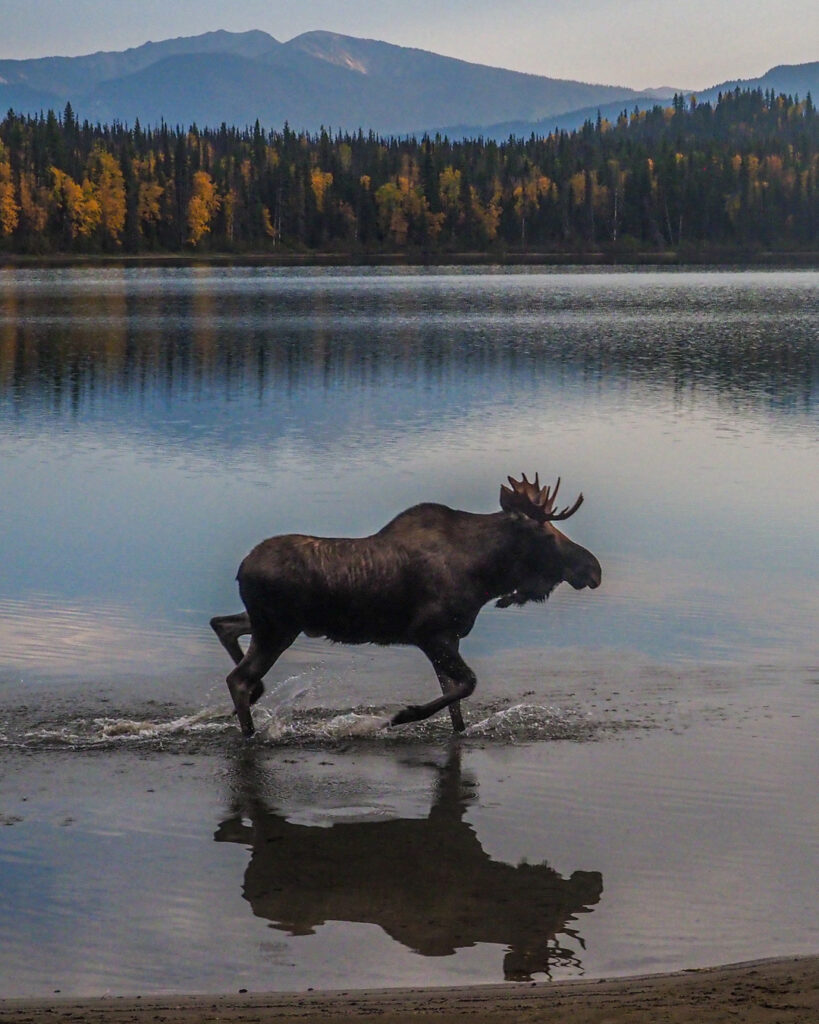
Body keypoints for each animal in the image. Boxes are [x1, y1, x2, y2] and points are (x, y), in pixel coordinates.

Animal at [207, 471, 597, 737]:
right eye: (547, 535)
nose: (594, 569)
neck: (485, 575)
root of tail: (241, 569)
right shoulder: (429, 633)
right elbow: (467, 684)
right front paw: (402, 715)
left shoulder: (450, 638)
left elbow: (455, 701)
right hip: (277, 629)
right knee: (237, 677)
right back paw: (250, 730)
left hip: (270, 623)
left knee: (222, 625)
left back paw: (256, 696)